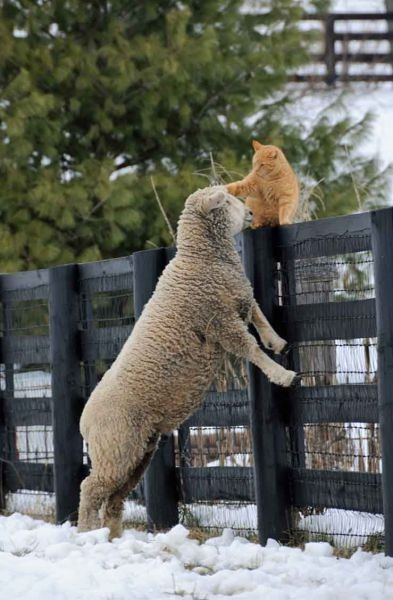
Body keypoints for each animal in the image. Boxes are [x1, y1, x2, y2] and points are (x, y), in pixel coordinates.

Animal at [76, 186, 298, 540]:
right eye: (225, 201)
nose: (251, 214)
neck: (200, 259)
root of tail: (84, 421)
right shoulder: (218, 321)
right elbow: (249, 348)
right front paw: (283, 374)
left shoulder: (235, 299)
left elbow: (258, 313)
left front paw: (276, 341)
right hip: (116, 446)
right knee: (91, 488)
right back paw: (87, 534)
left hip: (137, 451)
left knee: (114, 498)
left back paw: (112, 535)